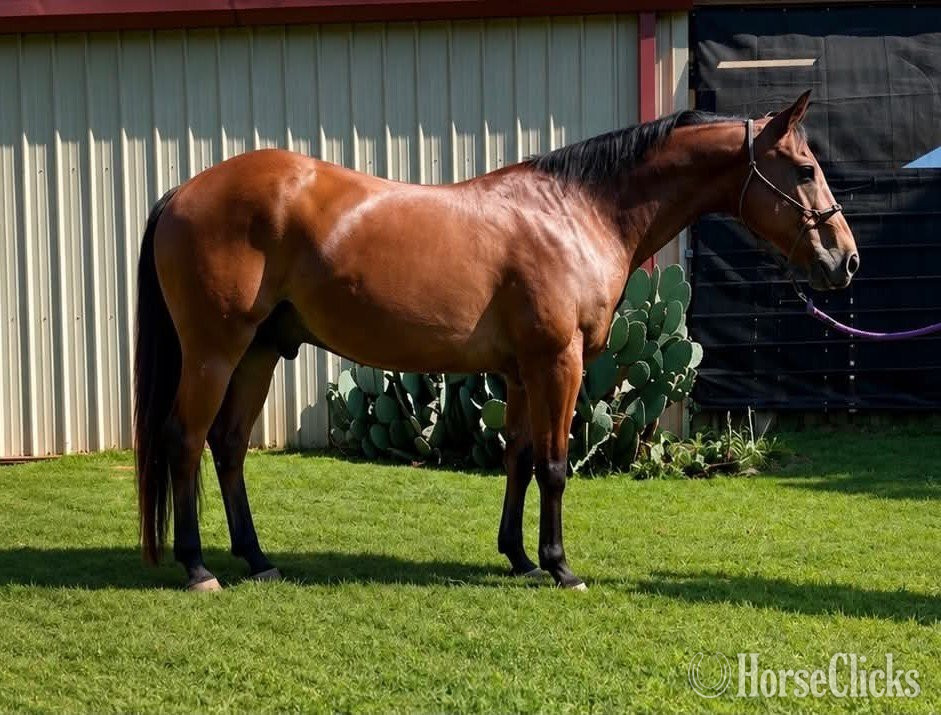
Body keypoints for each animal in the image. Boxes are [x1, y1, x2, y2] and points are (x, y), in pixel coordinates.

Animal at [135, 90, 858, 591]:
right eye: (802, 169)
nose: (844, 259)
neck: (575, 213)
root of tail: (181, 192)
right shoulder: (559, 362)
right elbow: (556, 465)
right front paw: (560, 567)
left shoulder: (518, 371)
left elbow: (518, 458)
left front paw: (518, 557)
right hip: (215, 352)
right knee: (185, 439)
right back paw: (198, 567)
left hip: (258, 352)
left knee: (229, 446)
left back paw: (258, 559)